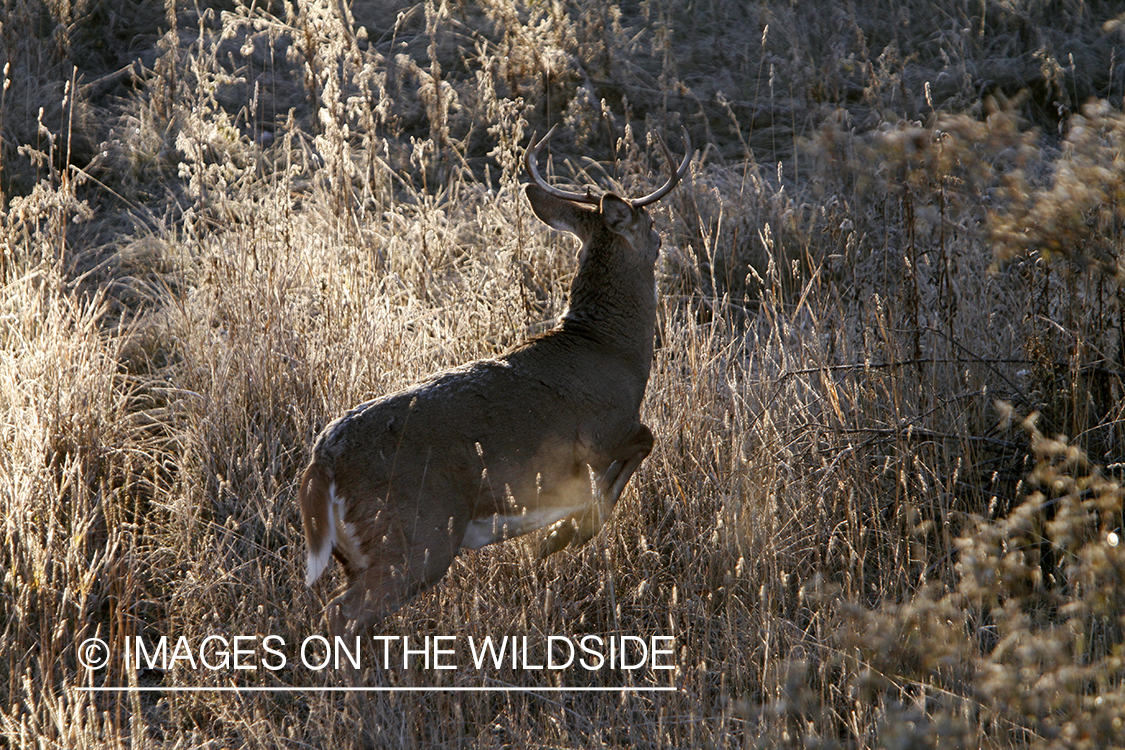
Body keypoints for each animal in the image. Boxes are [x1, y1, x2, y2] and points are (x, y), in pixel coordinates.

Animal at [297, 125, 684, 638]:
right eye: (653, 226)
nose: (665, 241)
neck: (611, 349)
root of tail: (323, 464)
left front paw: (562, 533)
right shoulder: (602, 433)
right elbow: (642, 446)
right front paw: (565, 534)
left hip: (365, 551)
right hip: (418, 535)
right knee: (341, 613)